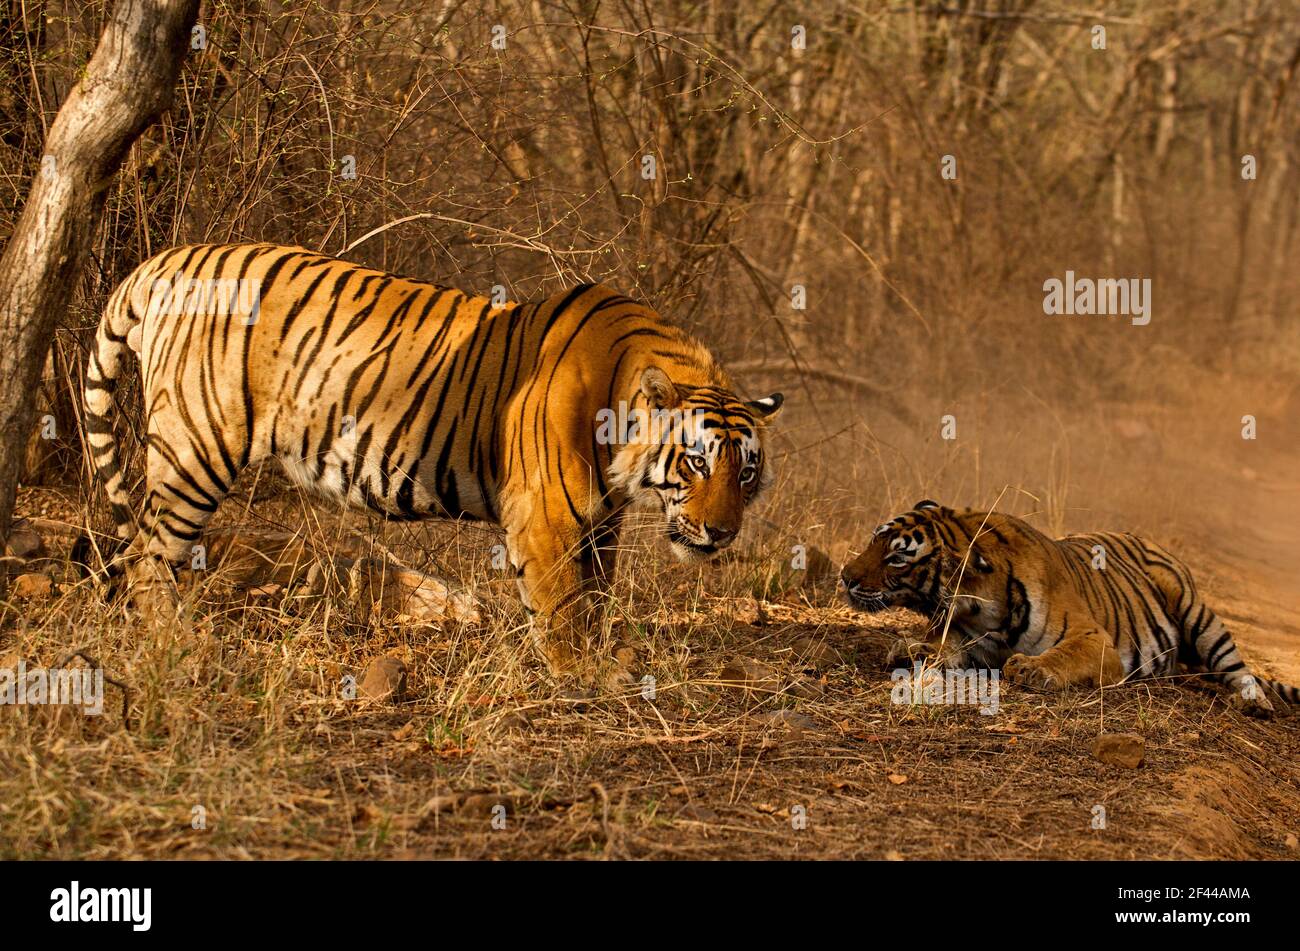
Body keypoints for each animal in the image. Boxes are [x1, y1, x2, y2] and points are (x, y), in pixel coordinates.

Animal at [86, 241, 785, 680]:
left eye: (745, 472)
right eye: (696, 464)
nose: (720, 534)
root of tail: (167, 260)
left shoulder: (599, 523)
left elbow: (594, 594)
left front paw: (602, 658)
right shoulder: (546, 516)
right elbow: (563, 604)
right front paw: (580, 675)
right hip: (197, 446)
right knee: (147, 553)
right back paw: (177, 646)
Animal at [837, 501, 1294, 717]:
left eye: (898, 558)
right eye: (874, 539)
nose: (845, 576)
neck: (979, 607)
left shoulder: (1095, 639)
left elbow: (1066, 653)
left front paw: (1033, 668)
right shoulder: (971, 639)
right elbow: (941, 647)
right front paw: (912, 648)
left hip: (1197, 612)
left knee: (1237, 666)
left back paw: (1255, 703)